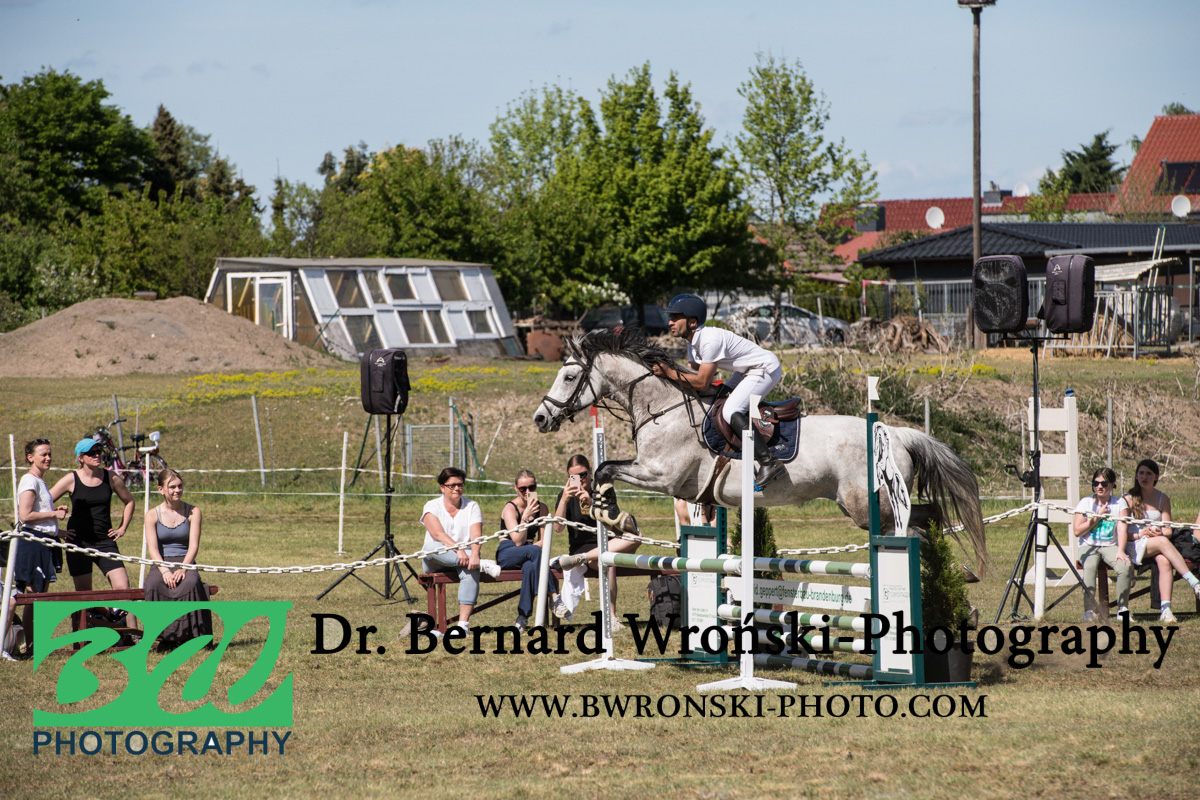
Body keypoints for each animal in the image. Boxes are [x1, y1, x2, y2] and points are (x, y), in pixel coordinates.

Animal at [532, 329, 988, 577]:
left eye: (569, 376)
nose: (540, 418)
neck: (661, 407)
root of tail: (894, 431)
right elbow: (604, 470)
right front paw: (608, 511)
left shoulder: (660, 475)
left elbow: (605, 469)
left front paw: (614, 514)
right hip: (864, 502)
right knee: (930, 517)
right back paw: (957, 570)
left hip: (867, 505)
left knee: (910, 530)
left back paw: (953, 572)